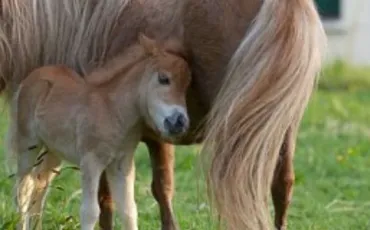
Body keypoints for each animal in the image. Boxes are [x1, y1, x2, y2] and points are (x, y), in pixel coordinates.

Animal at [7, 34, 192, 230]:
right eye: (163, 79)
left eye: (188, 84)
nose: (180, 122)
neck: (112, 110)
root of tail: (30, 78)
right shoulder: (91, 161)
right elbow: (90, 211)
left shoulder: (122, 164)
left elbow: (129, 210)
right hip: (28, 144)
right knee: (23, 189)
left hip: (53, 150)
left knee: (40, 184)